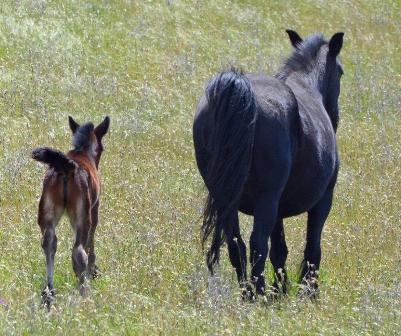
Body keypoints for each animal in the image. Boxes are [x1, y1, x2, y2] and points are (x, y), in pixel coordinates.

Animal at [32, 115, 109, 308]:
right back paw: (84, 292)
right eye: (102, 148)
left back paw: (49, 294)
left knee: (49, 244)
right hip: (83, 218)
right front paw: (94, 272)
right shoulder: (94, 209)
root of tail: (67, 168)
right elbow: (91, 245)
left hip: (46, 214)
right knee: (79, 252)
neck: (81, 153)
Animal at [192, 30, 342, 298]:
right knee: (256, 244)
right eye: (342, 72)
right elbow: (312, 249)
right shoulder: (323, 200)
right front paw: (308, 292)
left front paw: (281, 289)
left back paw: (248, 294)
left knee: (237, 245)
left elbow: (279, 249)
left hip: (226, 198)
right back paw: (258, 294)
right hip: (266, 199)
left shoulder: (278, 209)